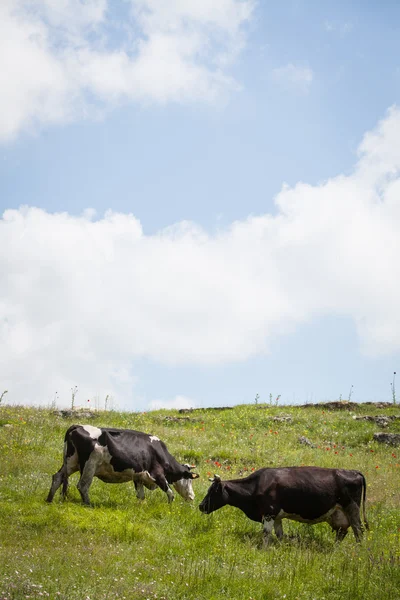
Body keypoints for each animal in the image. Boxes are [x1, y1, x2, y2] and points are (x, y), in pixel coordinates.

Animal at [47, 424, 200, 504]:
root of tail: (78, 426)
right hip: (89, 465)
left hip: (71, 462)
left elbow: (141, 495)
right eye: (189, 479)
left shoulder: (138, 476)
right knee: (82, 485)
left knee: (57, 477)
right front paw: (170, 507)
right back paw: (88, 504)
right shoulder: (158, 474)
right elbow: (170, 492)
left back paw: (49, 500)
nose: (192, 497)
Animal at [198, 466, 368, 548]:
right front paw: (281, 548)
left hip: (352, 508)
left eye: (212, 491)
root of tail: (354, 472)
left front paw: (264, 549)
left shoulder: (268, 513)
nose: (200, 506)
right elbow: (279, 534)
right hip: (338, 514)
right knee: (342, 532)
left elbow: (266, 533)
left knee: (358, 531)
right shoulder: (277, 516)